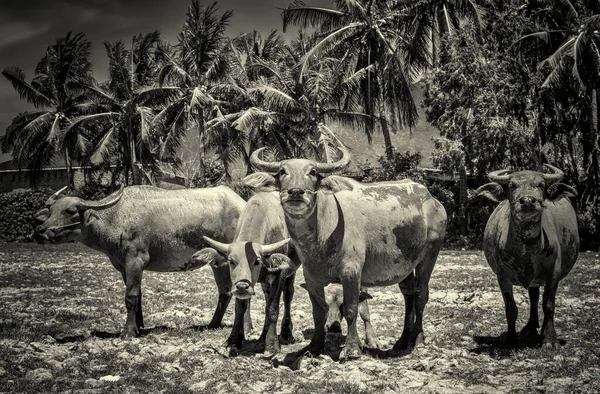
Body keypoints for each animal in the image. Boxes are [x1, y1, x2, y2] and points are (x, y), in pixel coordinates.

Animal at [190, 191, 298, 354]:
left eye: (257, 261)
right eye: (231, 261)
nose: (242, 286)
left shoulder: (279, 274)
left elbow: (273, 309)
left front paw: (272, 344)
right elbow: (240, 309)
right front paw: (234, 340)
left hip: (291, 274)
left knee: (288, 295)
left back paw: (286, 334)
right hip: (265, 283)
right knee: (267, 300)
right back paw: (262, 336)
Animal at [244, 146, 446, 362]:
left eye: (313, 172)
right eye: (282, 171)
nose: (296, 192)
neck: (320, 234)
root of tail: (433, 201)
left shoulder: (351, 273)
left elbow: (351, 309)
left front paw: (351, 349)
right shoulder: (311, 278)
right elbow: (319, 313)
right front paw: (313, 346)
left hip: (430, 255)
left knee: (421, 295)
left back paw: (418, 339)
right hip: (406, 266)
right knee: (409, 295)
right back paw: (402, 340)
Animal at [476, 165, 580, 346]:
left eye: (541, 185)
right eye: (512, 185)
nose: (528, 201)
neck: (526, 249)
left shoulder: (553, 274)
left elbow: (549, 305)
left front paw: (550, 339)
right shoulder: (502, 277)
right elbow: (510, 308)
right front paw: (511, 339)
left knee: (538, 299)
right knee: (534, 297)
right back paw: (530, 328)